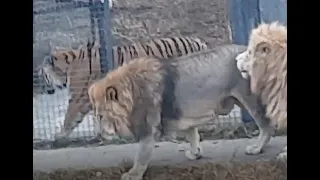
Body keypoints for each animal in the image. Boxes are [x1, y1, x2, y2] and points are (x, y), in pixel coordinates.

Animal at [42, 35, 208, 140]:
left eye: (42, 75)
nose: (45, 89)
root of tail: (198, 42)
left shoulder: (79, 98)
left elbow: (70, 116)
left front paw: (60, 135)